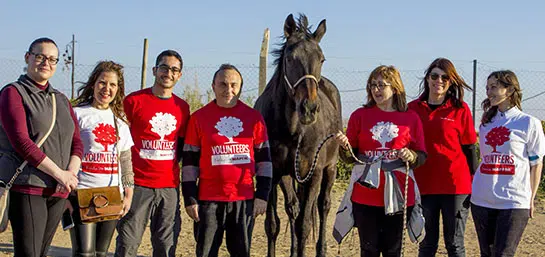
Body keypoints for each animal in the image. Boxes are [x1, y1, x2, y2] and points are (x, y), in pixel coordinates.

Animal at [254, 13, 340, 256]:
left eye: (321, 59)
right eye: (290, 59)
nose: (309, 109)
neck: (291, 128)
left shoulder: (315, 174)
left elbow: (304, 225)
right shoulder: (274, 172)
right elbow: (273, 224)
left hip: (330, 169)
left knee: (323, 206)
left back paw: (321, 249)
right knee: (293, 207)